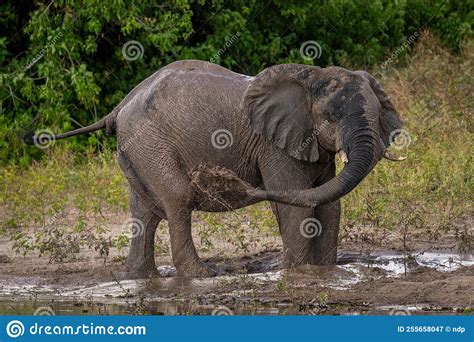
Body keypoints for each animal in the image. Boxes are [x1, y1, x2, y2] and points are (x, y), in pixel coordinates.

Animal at [24, 60, 406, 278]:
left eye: (377, 115)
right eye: (330, 117)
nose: (221, 179)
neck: (313, 76)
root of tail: (119, 107)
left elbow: (328, 203)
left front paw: (324, 272)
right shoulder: (275, 144)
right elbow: (298, 203)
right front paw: (298, 273)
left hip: (137, 149)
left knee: (144, 212)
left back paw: (140, 278)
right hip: (150, 143)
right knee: (177, 197)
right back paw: (200, 276)